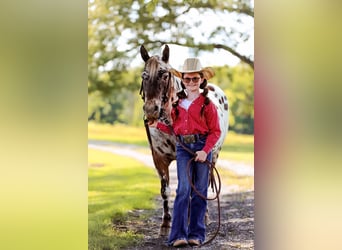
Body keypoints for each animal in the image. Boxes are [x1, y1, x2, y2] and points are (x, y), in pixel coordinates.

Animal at [139, 44, 230, 235]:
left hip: (213, 155)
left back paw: (204, 216)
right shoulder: (159, 159)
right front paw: (166, 224)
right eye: (144, 75)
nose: (150, 110)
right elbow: (165, 190)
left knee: (204, 183)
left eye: (164, 74)